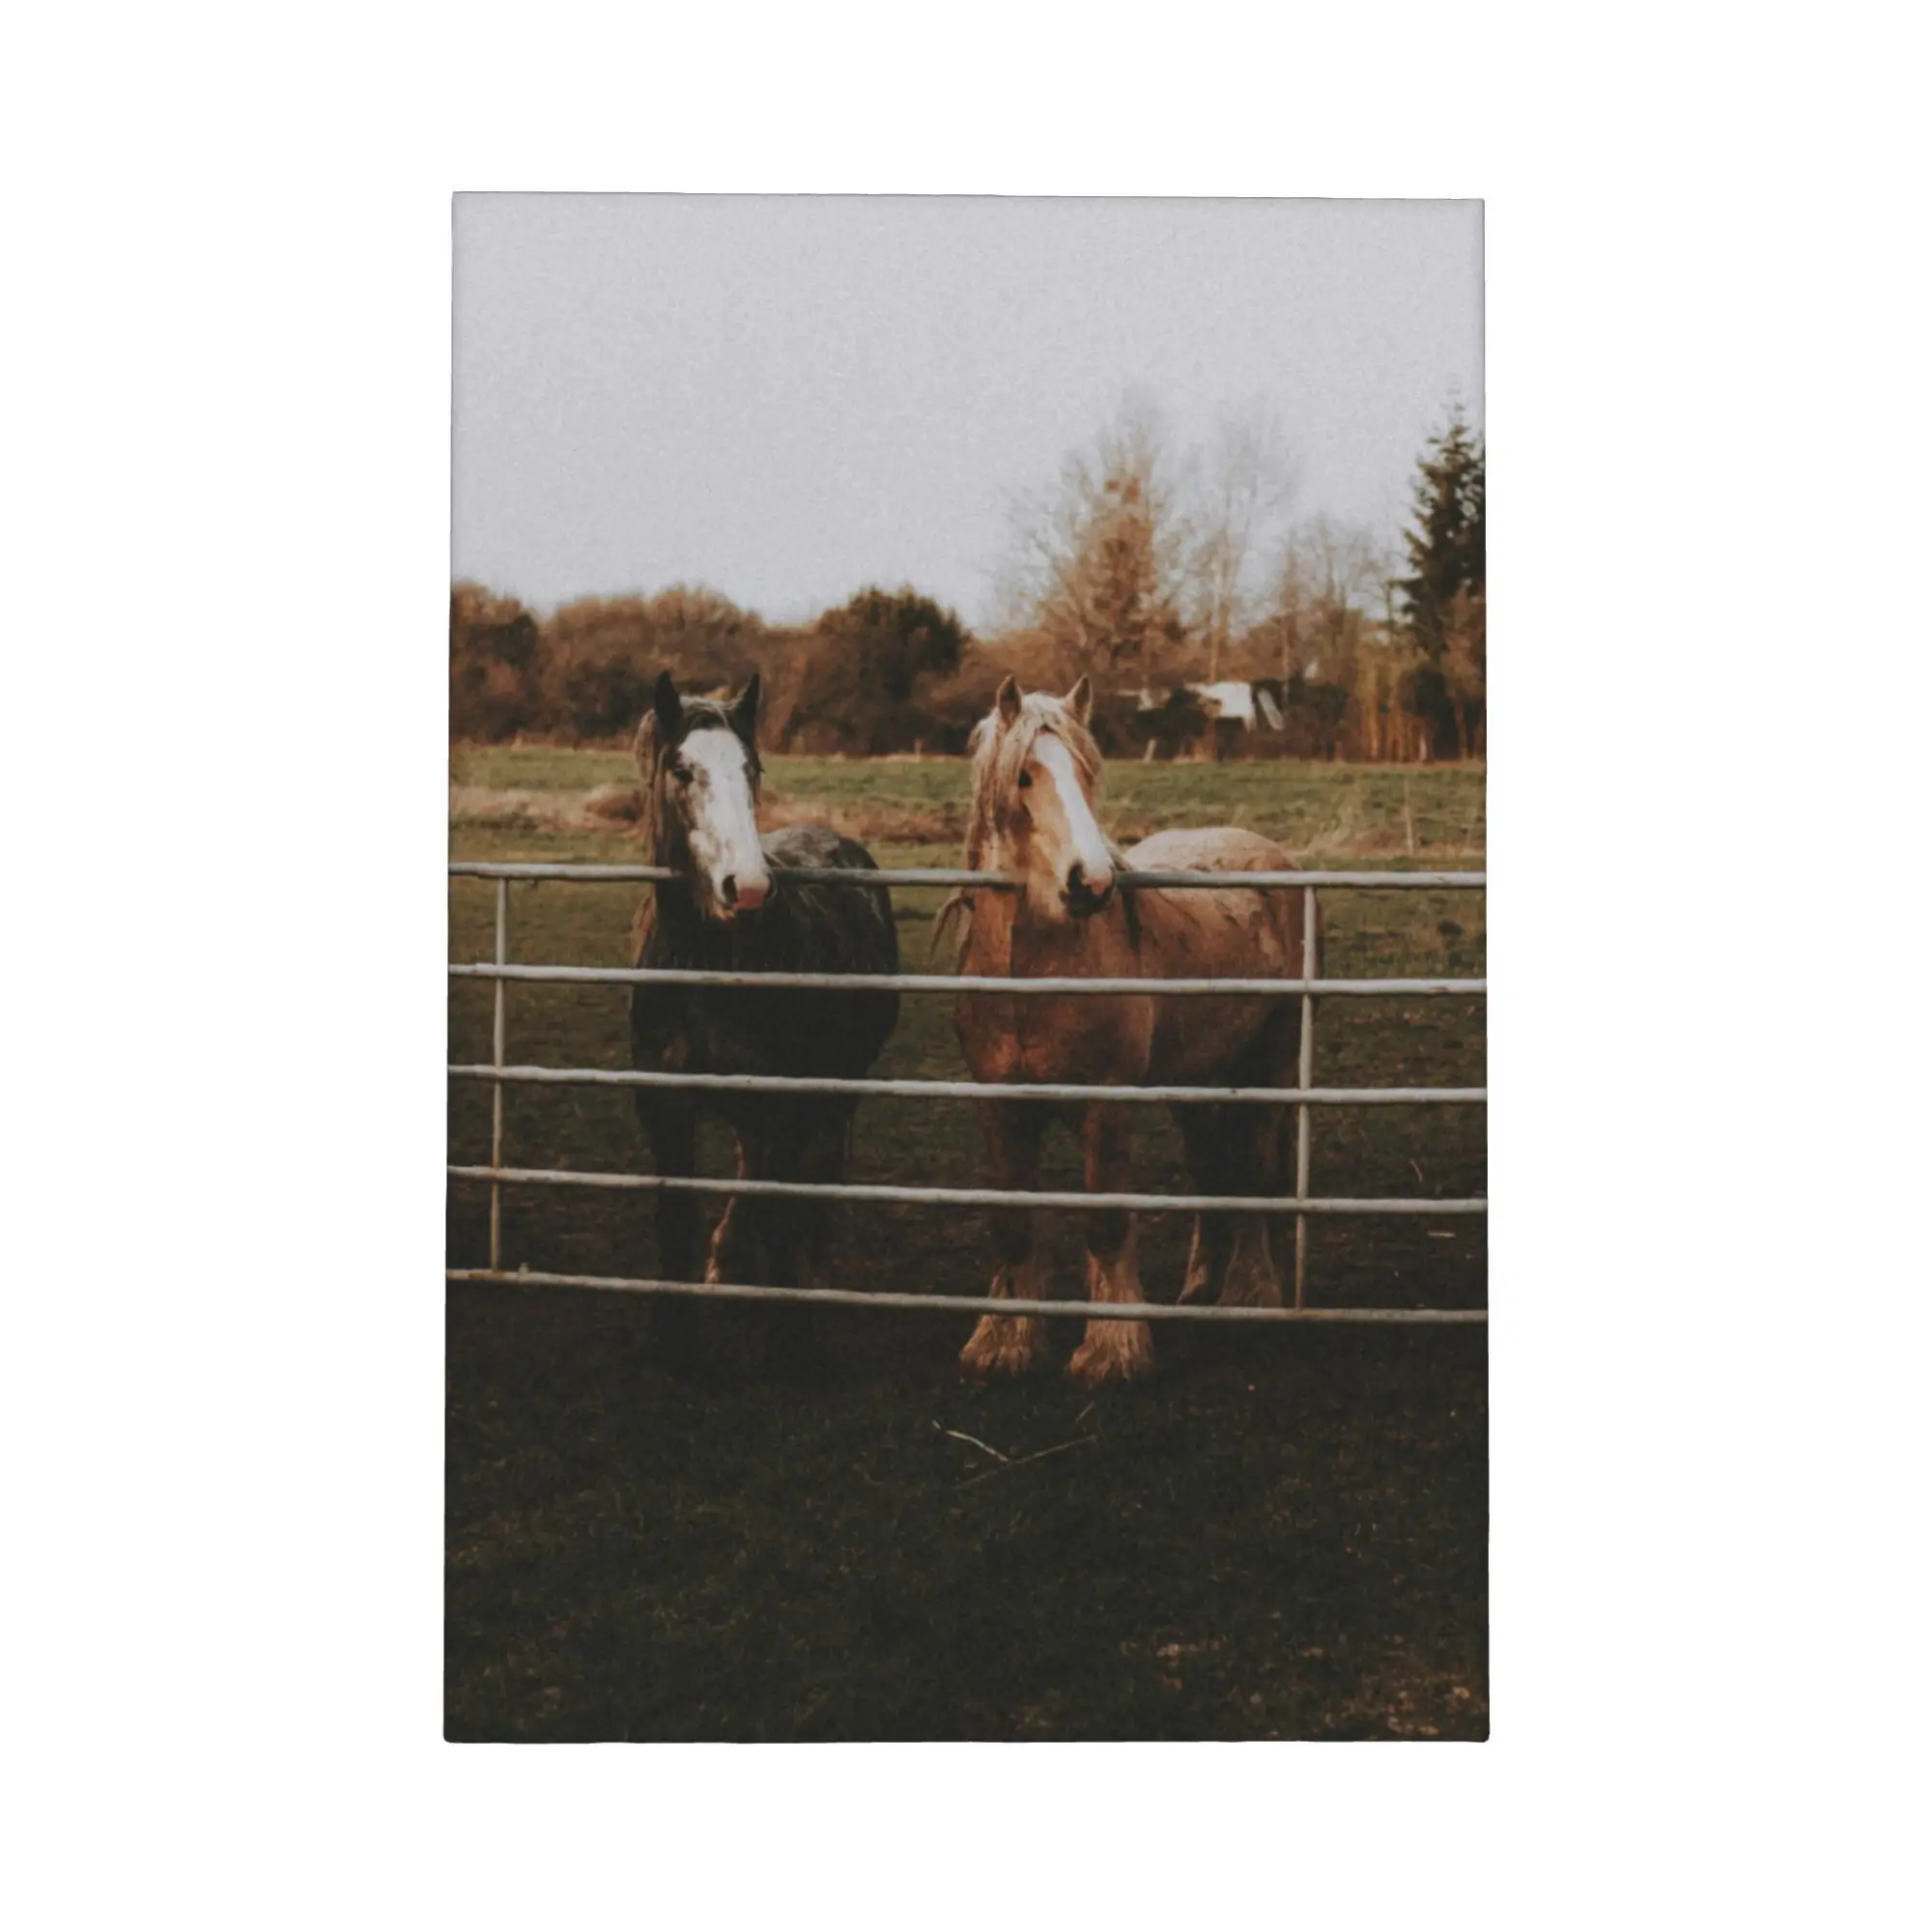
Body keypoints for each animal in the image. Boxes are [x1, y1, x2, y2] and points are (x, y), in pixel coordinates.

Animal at [628, 670, 900, 1372]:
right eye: (681, 769)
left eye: (753, 768)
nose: (745, 887)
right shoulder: (665, 1109)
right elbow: (676, 1217)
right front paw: (675, 1341)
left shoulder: (782, 1102)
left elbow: (780, 1211)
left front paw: (792, 1341)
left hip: (838, 1088)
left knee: (810, 1180)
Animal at [943, 674, 1317, 1385]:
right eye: (1025, 776)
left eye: (1088, 774)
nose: (1090, 884)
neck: (1035, 974)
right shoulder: (998, 1105)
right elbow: (1013, 1223)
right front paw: (1004, 1340)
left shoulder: (1106, 1106)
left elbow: (1108, 1224)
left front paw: (1112, 1348)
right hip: (1194, 1082)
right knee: (1210, 1170)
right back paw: (1199, 1284)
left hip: (1271, 1065)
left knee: (1254, 1172)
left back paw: (1249, 1293)